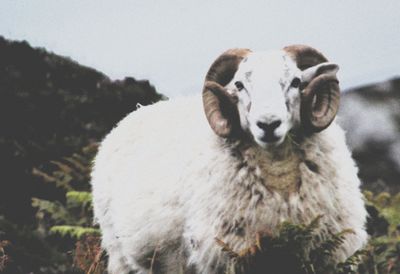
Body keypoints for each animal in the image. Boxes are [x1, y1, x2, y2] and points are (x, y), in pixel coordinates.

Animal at [91, 44, 368, 272]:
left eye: (296, 82)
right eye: (239, 85)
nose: (268, 124)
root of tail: (136, 111)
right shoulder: (226, 256)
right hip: (120, 254)